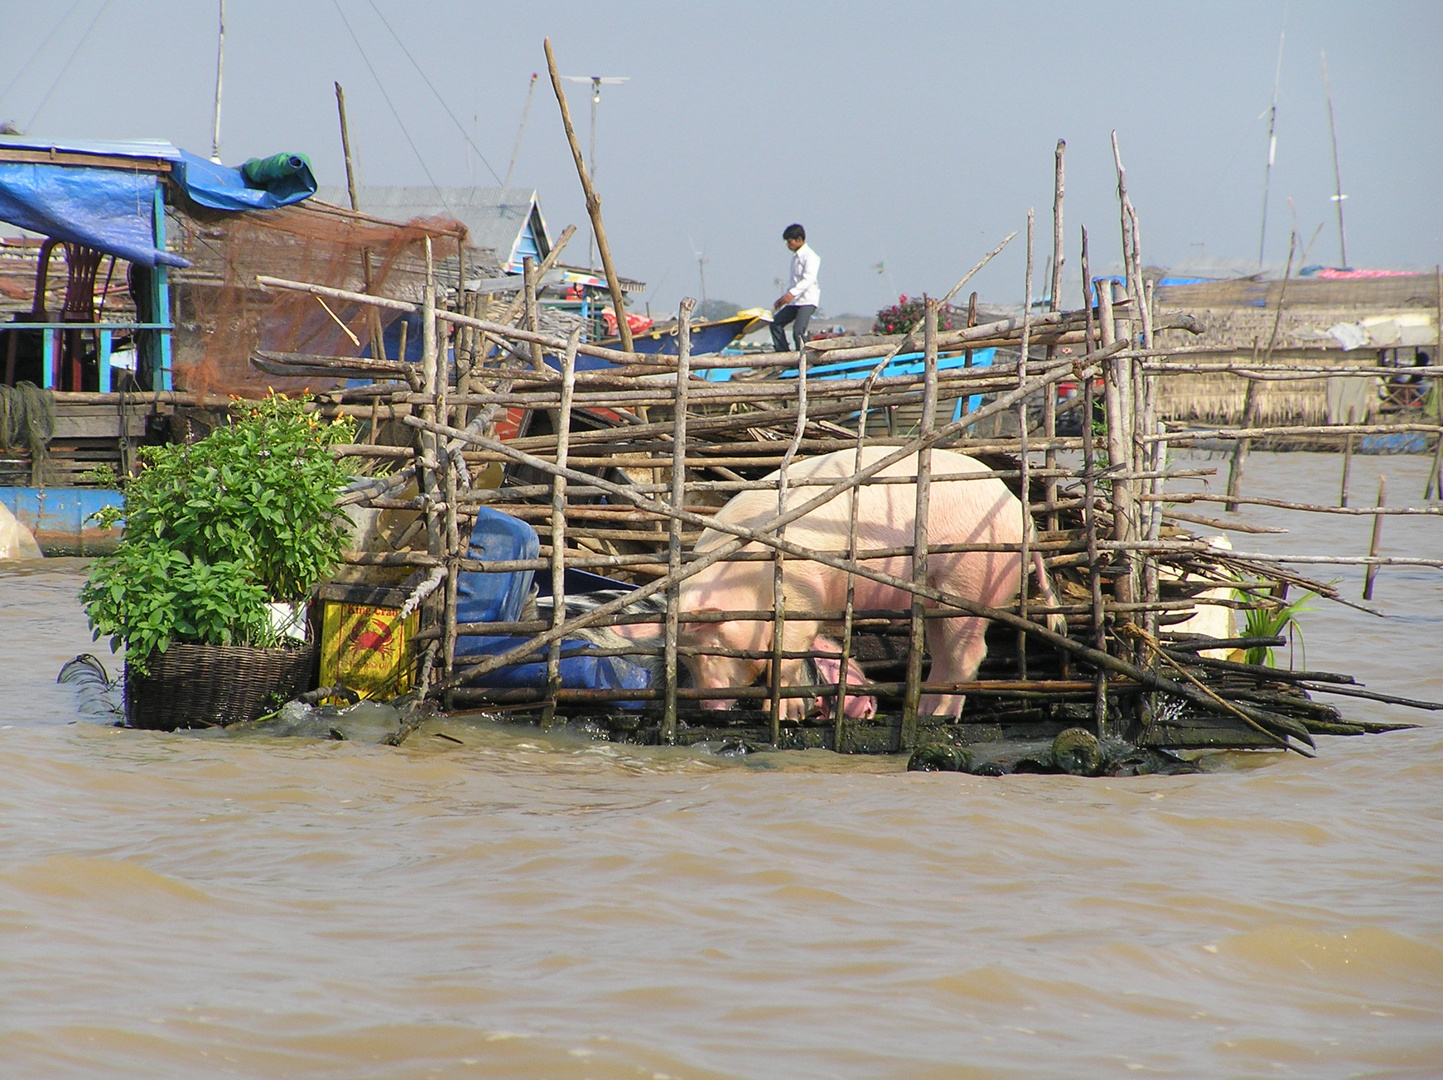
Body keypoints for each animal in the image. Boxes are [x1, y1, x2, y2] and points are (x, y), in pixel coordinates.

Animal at [675, 447, 1027, 716]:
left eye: (710, 648)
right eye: (683, 656)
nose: (707, 706)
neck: (746, 580)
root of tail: (1018, 510)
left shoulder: (801, 595)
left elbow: (786, 659)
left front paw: (785, 715)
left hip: (972, 579)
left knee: (968, 653)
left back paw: (938, 715)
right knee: (943, 650)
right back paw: (925, 708)